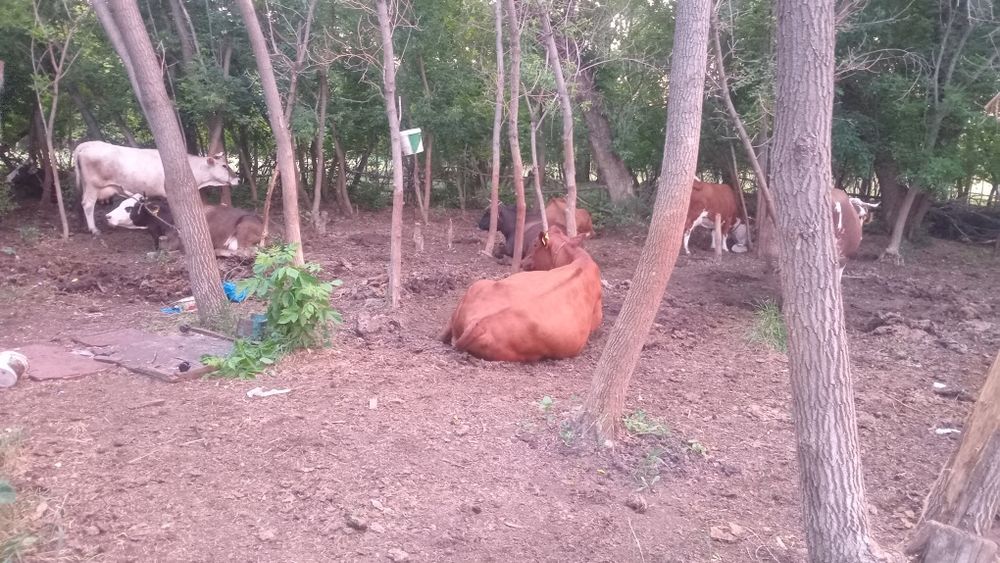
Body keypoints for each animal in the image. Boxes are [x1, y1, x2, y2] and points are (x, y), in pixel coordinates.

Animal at [73, 141, 240, 235]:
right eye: (224, 166)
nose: (237, 178)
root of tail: (89, 144)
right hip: (93, 186)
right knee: (87, 204)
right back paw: (94, 229)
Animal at [125, 195, 263, 256]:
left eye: (139, 207)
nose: (131, 217)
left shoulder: (175, 241)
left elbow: (165, 251)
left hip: (243, 228)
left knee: (246, 252)